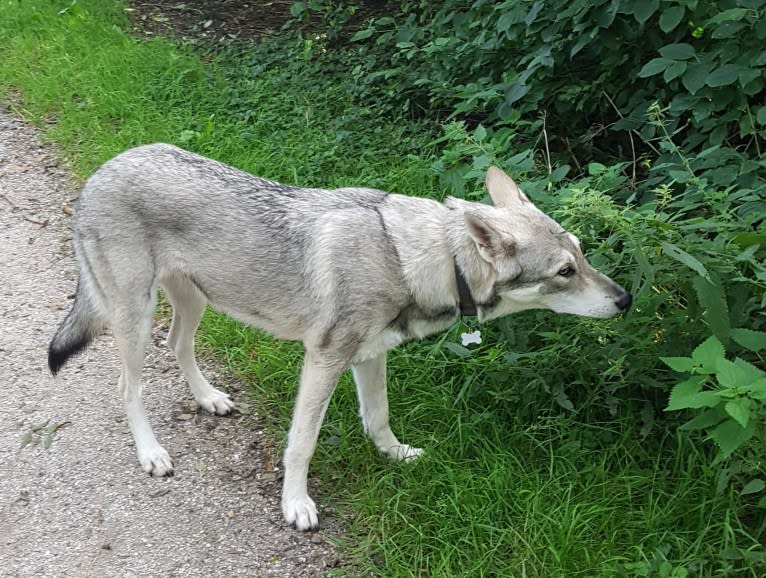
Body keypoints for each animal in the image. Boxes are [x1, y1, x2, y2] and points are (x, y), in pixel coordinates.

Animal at [51, 143, 632, 528]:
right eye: (565, 272)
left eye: (582, 255)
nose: (625, 299)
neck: (417, 260)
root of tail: (102, 170)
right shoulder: (324, 360)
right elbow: (302, 444)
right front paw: (296, 504)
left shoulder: (370, 357)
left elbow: (379, 418)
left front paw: (395, 455)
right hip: (136, 317)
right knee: (129, 387)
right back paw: (151, 452)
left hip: (194, 303)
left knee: (178, 346)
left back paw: (210, 399)